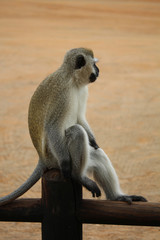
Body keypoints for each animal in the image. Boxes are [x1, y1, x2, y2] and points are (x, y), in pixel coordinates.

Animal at [0, 47, 147, 205]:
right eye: (94, 64)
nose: (98, 70)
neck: (72, 79)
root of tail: (42, 158)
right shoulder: (62, 93)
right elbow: (53, 127)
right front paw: (66, 165)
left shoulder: (83, 91)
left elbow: (79, 117)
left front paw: (93, 140)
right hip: (54, 157)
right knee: (76, 132)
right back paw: (78, 176)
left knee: (97, 154)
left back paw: (117, 197)